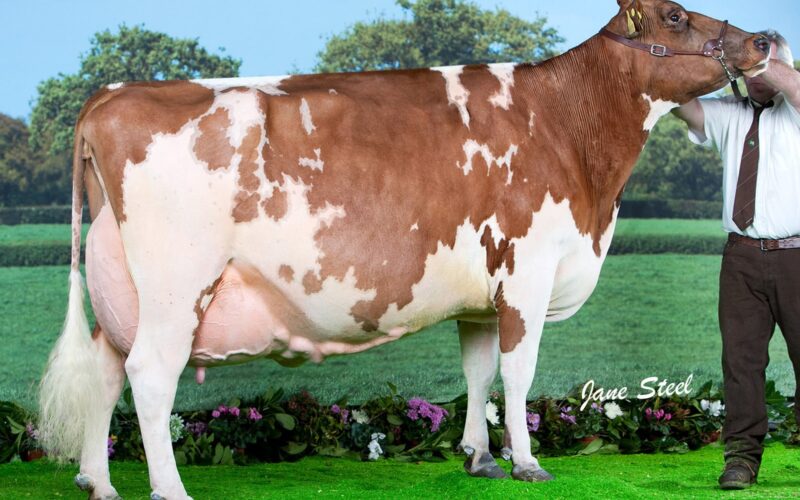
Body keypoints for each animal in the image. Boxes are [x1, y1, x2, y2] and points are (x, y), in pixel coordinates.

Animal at [38, 1, 769, 498]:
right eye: (675, 15)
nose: (763, 38)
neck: (567, 131)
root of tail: (111, 94)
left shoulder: (483, 293)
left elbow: (478, 372)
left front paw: (479, 456)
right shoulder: (528, 271)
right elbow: (518, 373)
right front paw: (527, 462)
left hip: (122, 291)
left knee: (106, 368)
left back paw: (98, 481)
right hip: (176, 284)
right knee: (149, 377)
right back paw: (169, 489)